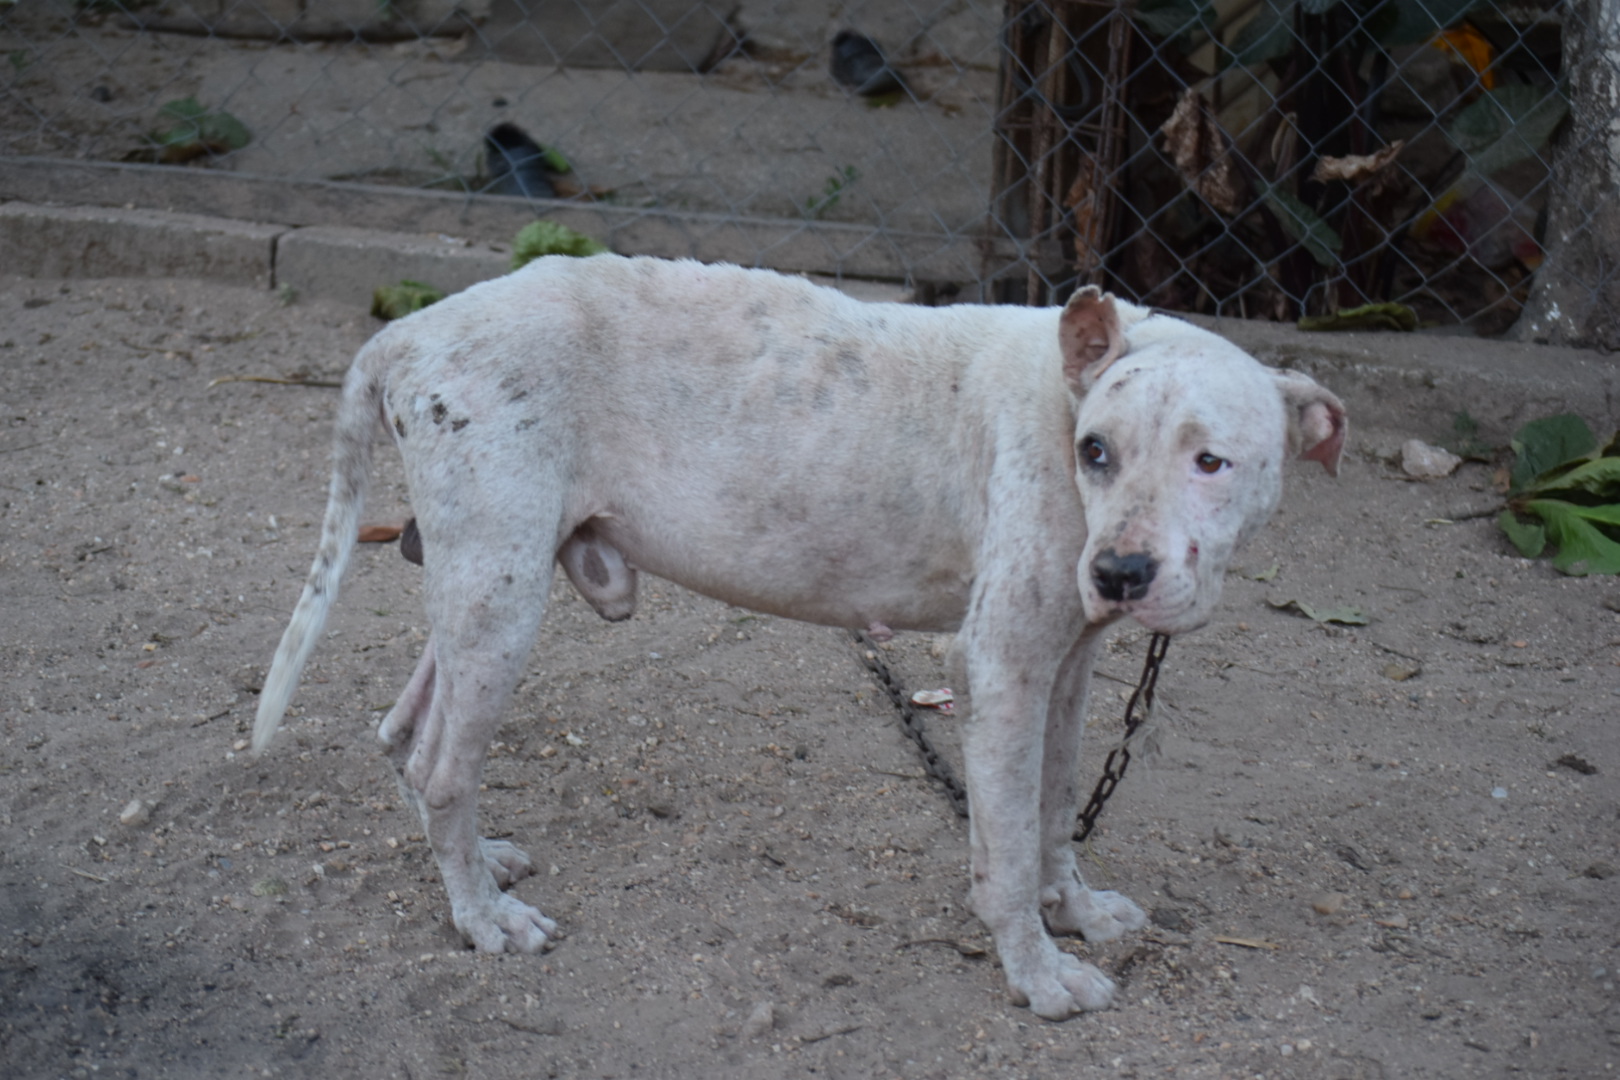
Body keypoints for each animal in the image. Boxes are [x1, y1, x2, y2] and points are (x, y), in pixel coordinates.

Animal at [252, 255, 1341, 1023]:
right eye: (1097, 452)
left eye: (1211, 461)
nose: (1120, 573)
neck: (1068, 393)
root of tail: (412, 330)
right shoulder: (998, 666)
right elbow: (1003, 849)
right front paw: (1038, 973)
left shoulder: (1066, 665)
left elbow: (1053, 811)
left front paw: (1074, 909)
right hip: (500, 595)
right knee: (441, 768)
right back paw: (482, 917)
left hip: (481, 585)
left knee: (406, 735)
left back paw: (481, 863)